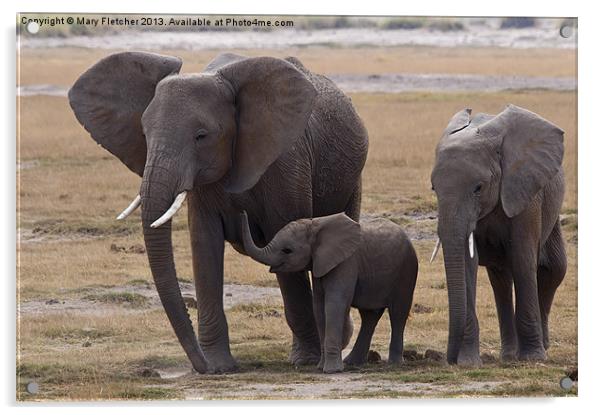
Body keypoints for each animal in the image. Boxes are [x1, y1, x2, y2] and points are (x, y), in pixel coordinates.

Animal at [68, 51, 368, 374]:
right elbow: (204, 246)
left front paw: (305, 360)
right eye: (144, 133)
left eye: (201, 136)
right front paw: (219, 365)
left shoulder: (287, 165)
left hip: (352, 181)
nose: (200, 366)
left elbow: (288, 244)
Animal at [239, 211, 418, 374]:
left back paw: (394, 364)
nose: (243, 212)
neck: (315, 225)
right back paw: (353, 362)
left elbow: (334, 304)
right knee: (369, 316)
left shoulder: (346, 263)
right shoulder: (319, 263)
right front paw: (321, 367)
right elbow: (319, 308)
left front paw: (332, 370)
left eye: (287, 250)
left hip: (406, 270)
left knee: (398, 313)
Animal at [428, 105, 564, 368]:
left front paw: (532, 358)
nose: (448, 360)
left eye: (478, 188)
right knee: (500, 280)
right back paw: (509, 354)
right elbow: (467, 262)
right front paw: (468, 362)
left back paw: (541, 347)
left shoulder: (525, 192)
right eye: (433, 188)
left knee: (553, 269)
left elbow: (523, 259)